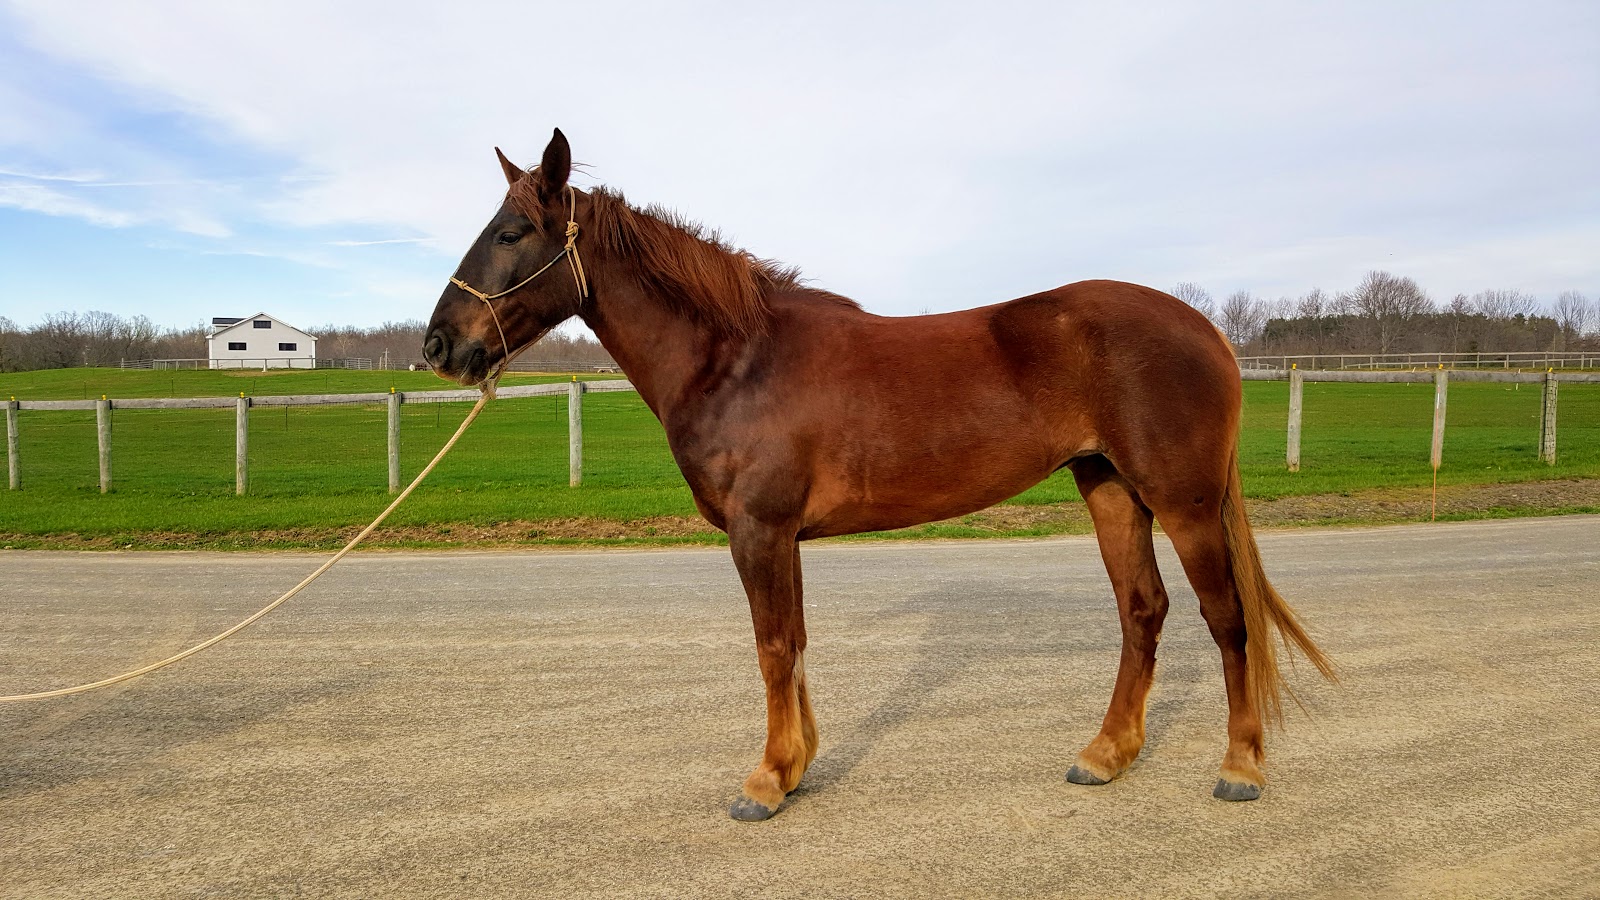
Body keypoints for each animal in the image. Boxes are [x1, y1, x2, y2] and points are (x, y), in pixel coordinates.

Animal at [419, 128, 1331, 819]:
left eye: (510, 234)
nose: (438, 345)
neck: (738, 358)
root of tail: (1206, 330)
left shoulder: (759, 530)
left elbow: (771, 646)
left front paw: (765, 782)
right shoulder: (779, 536)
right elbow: (792, 643)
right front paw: (794, 767)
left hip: (1182, 499)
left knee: (1227, 619)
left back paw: (1240, 768)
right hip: (1108, 485)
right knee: (1143, 611)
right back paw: (1106, 754)